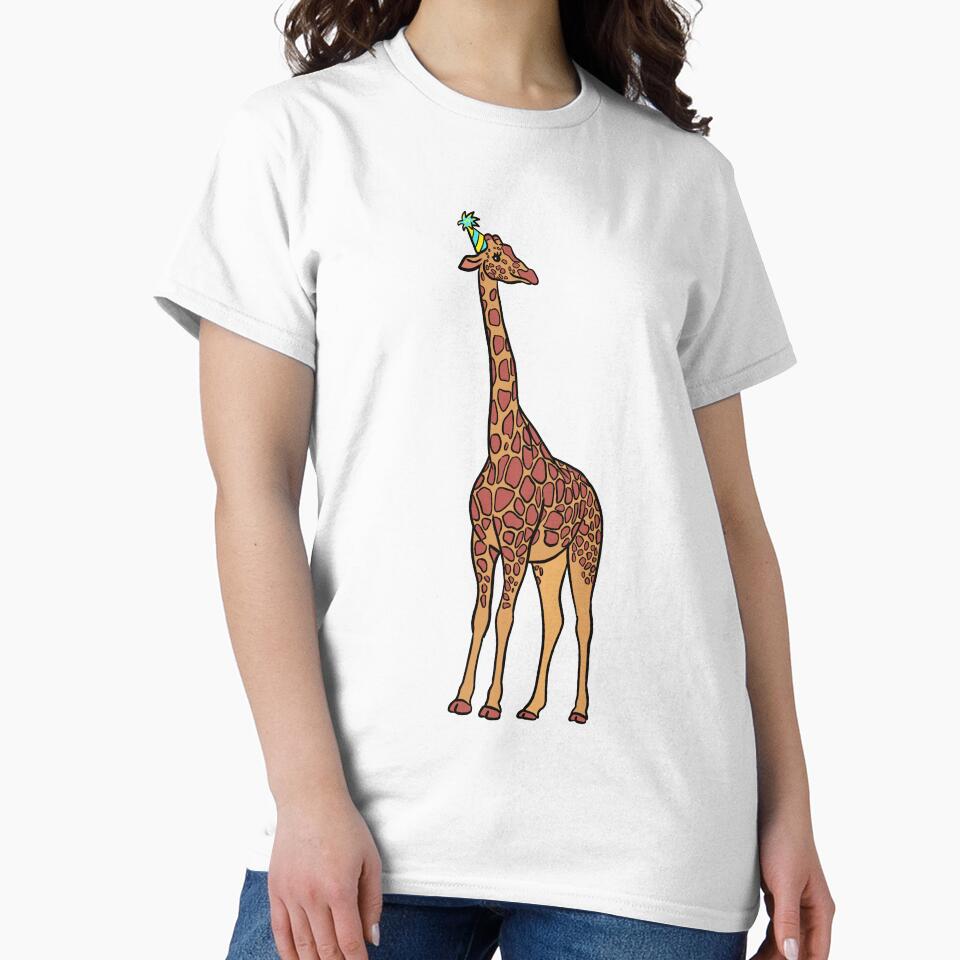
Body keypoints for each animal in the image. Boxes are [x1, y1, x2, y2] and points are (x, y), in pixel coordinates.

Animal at [447, 212, 603, 725]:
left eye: (512, 250)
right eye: (496, 255)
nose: (530, 274)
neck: (498, 448)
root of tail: (596, 495)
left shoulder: (514, 544)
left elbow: (504, 616)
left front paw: (490, 703)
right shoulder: (482, 541)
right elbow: (480, 616)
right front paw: (463, 698)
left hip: (584, 554)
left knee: (584, 620)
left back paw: (577, 711)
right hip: (548, 562)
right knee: (554, 619)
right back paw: (533, 706)